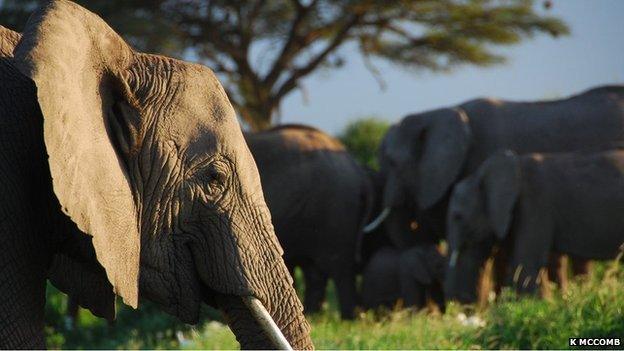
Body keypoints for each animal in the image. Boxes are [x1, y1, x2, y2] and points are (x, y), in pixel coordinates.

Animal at [244, 125, 370, 320]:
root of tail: (356, 167)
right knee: (315, 273)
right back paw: (314, 315)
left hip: (336, 210)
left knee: (340, 269)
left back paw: (348, 318)